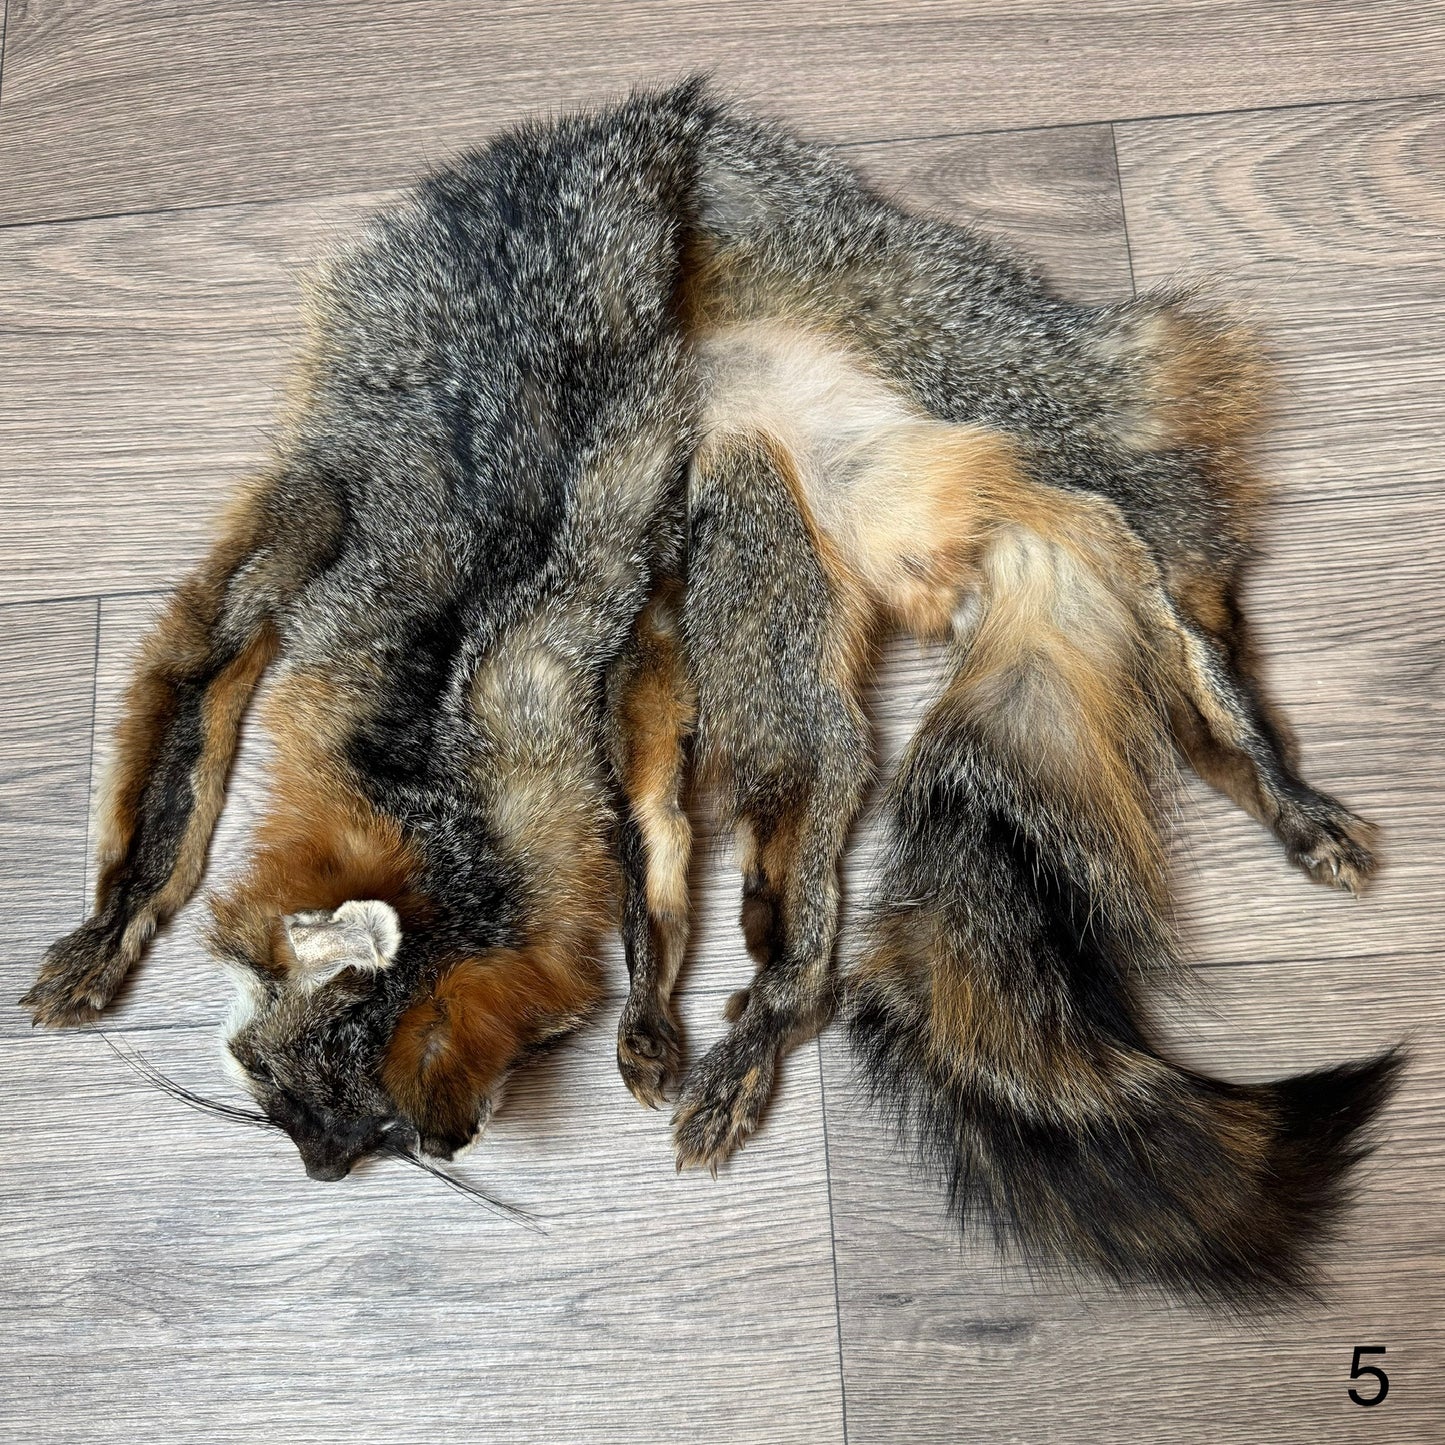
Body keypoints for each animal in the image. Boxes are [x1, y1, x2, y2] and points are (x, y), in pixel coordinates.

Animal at [23, 79, 1398, 1302]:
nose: (326, 1170)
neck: (425, 741)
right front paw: (113, 925)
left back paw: (1263, 773)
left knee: (1177, 583)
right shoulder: (464, 588)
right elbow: (196, 749)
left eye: (347, 1114)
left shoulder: (485, 613)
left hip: (990, 408)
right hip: (769, 550)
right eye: (298, 1103)